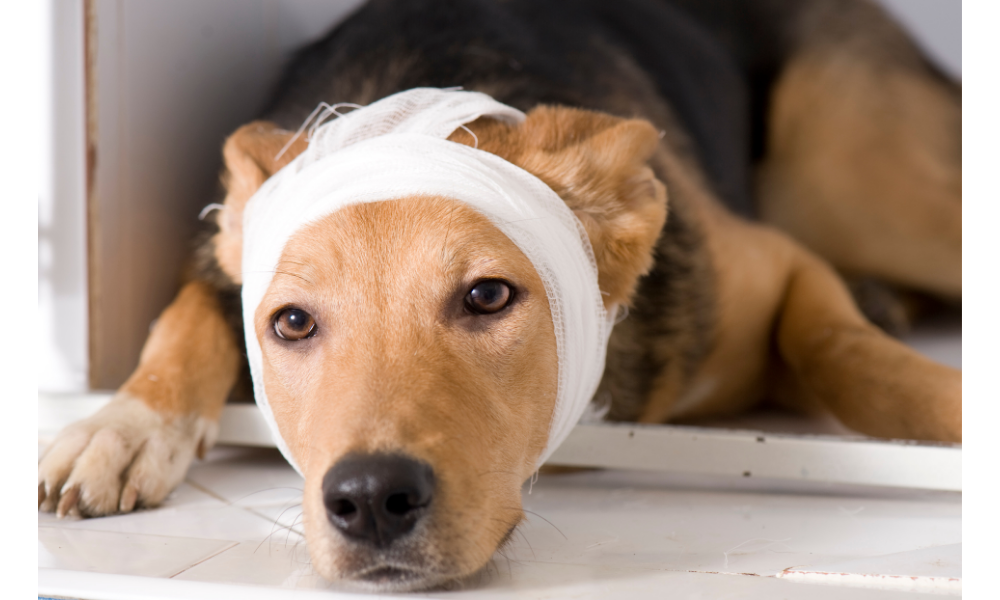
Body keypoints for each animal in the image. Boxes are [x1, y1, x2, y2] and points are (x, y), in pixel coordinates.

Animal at [37, 0, 960, 592]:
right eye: (292, 322)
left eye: (486, 296)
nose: (369, 500)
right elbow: (186, 315)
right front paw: (122, 426)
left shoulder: (783, 265)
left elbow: (845, 354)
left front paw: (945, 408)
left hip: (859, 176)